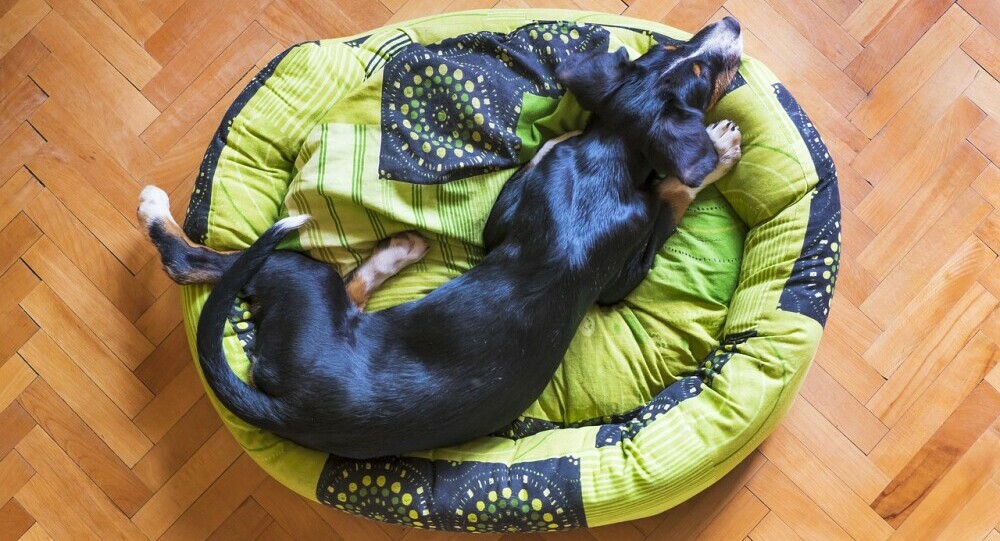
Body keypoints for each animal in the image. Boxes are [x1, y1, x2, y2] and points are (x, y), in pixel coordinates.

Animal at [143, 16, 744, 458]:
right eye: (701, 67)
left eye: (680, 54)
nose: (731, 23)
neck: (607, 157)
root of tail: (286, 407)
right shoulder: (622, 274)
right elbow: (673, 194)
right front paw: (719, 150)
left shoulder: (507, 218)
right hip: (303, 280)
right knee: (189, 260)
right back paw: (156, 212)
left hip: (318, 297)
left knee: (337, 287)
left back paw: (400, 250)